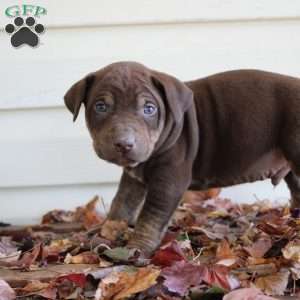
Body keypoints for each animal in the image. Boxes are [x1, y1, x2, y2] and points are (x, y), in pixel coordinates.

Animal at [65, 62, 300, 254]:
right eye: (100, 107)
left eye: (149, 109)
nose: (124, 144)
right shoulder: (133, 178)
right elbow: (122, 203)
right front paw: (105, 231)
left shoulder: (169, 182)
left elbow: (150, 217)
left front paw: (138, 247)